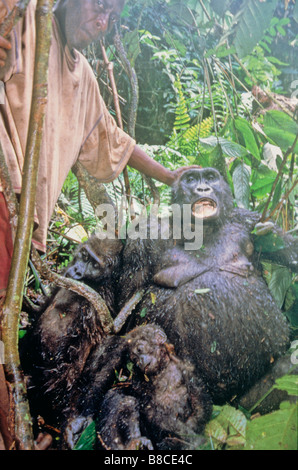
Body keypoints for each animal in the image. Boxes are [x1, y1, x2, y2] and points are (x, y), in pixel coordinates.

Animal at [118, 168, 294, 404]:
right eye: (191, 179)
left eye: (210, 177)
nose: (202, 188)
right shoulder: (144, 236)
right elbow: (126, 307)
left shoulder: (249, 219)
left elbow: (289, 250)